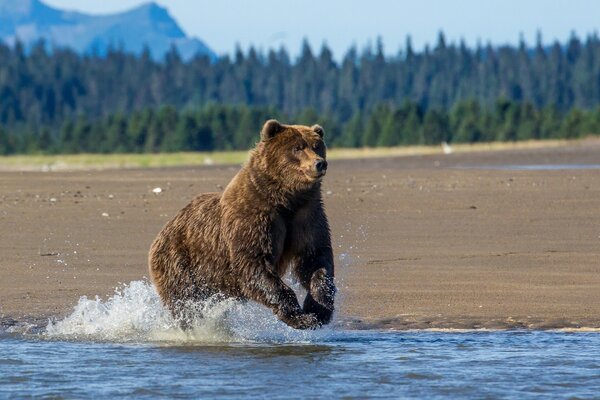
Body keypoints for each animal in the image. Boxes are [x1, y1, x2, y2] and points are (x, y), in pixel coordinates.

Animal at [148, 119, 336, 328]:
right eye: (297, 147)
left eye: (317, 146)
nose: (320, 163)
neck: (285, 199)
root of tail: (162, 232)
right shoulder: (253, 218)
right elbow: (253, 263)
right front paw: (300, 317)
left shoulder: (307, 216)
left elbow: (315, 259)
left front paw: (318, 310)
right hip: (180, 262)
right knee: (185, 302)